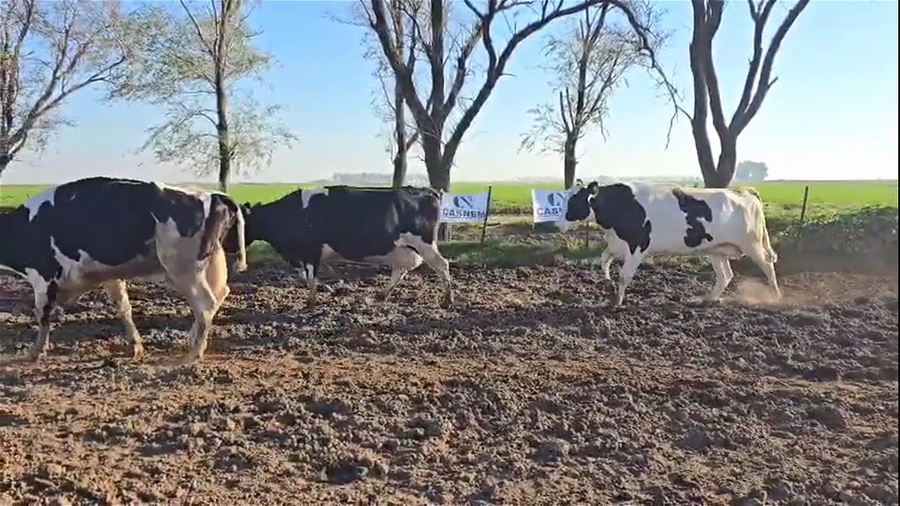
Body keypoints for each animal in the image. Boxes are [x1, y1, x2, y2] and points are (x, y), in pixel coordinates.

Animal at [0, 176, 247, 363]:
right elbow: (124, 309)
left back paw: (192, 355)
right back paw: (193, 339)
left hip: (184, 269)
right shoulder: (110, 275)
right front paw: (135, 346)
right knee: (219, 294)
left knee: (205, 305)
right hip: (209, 263)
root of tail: (214, 195)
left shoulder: (43, 276)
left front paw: (36, 351)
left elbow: (42, 314)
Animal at [222, 185, 453, 308]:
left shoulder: (310, 251)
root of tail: (427, 190)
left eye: (236, 224)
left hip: (424, 244)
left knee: (442, 266)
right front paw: (331, 288)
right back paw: (382, 295)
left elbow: (311, 277)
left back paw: (447, 301)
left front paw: (312, 301)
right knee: (400, 270)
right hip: (404, 249)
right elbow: (309, 275)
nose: (227, 247)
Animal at [557, 179, 780, 306]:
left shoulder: (638, 246)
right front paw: (607, 282)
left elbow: (624, 276)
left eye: (574, 201)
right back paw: (708, 299)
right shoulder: (615, 244)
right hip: (717, 250)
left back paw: (776, 297)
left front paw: (616, 301)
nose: (557, 224)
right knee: (726, 276)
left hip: (752, 245)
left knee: (768, 267)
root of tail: (744, 191)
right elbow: (603, 261)